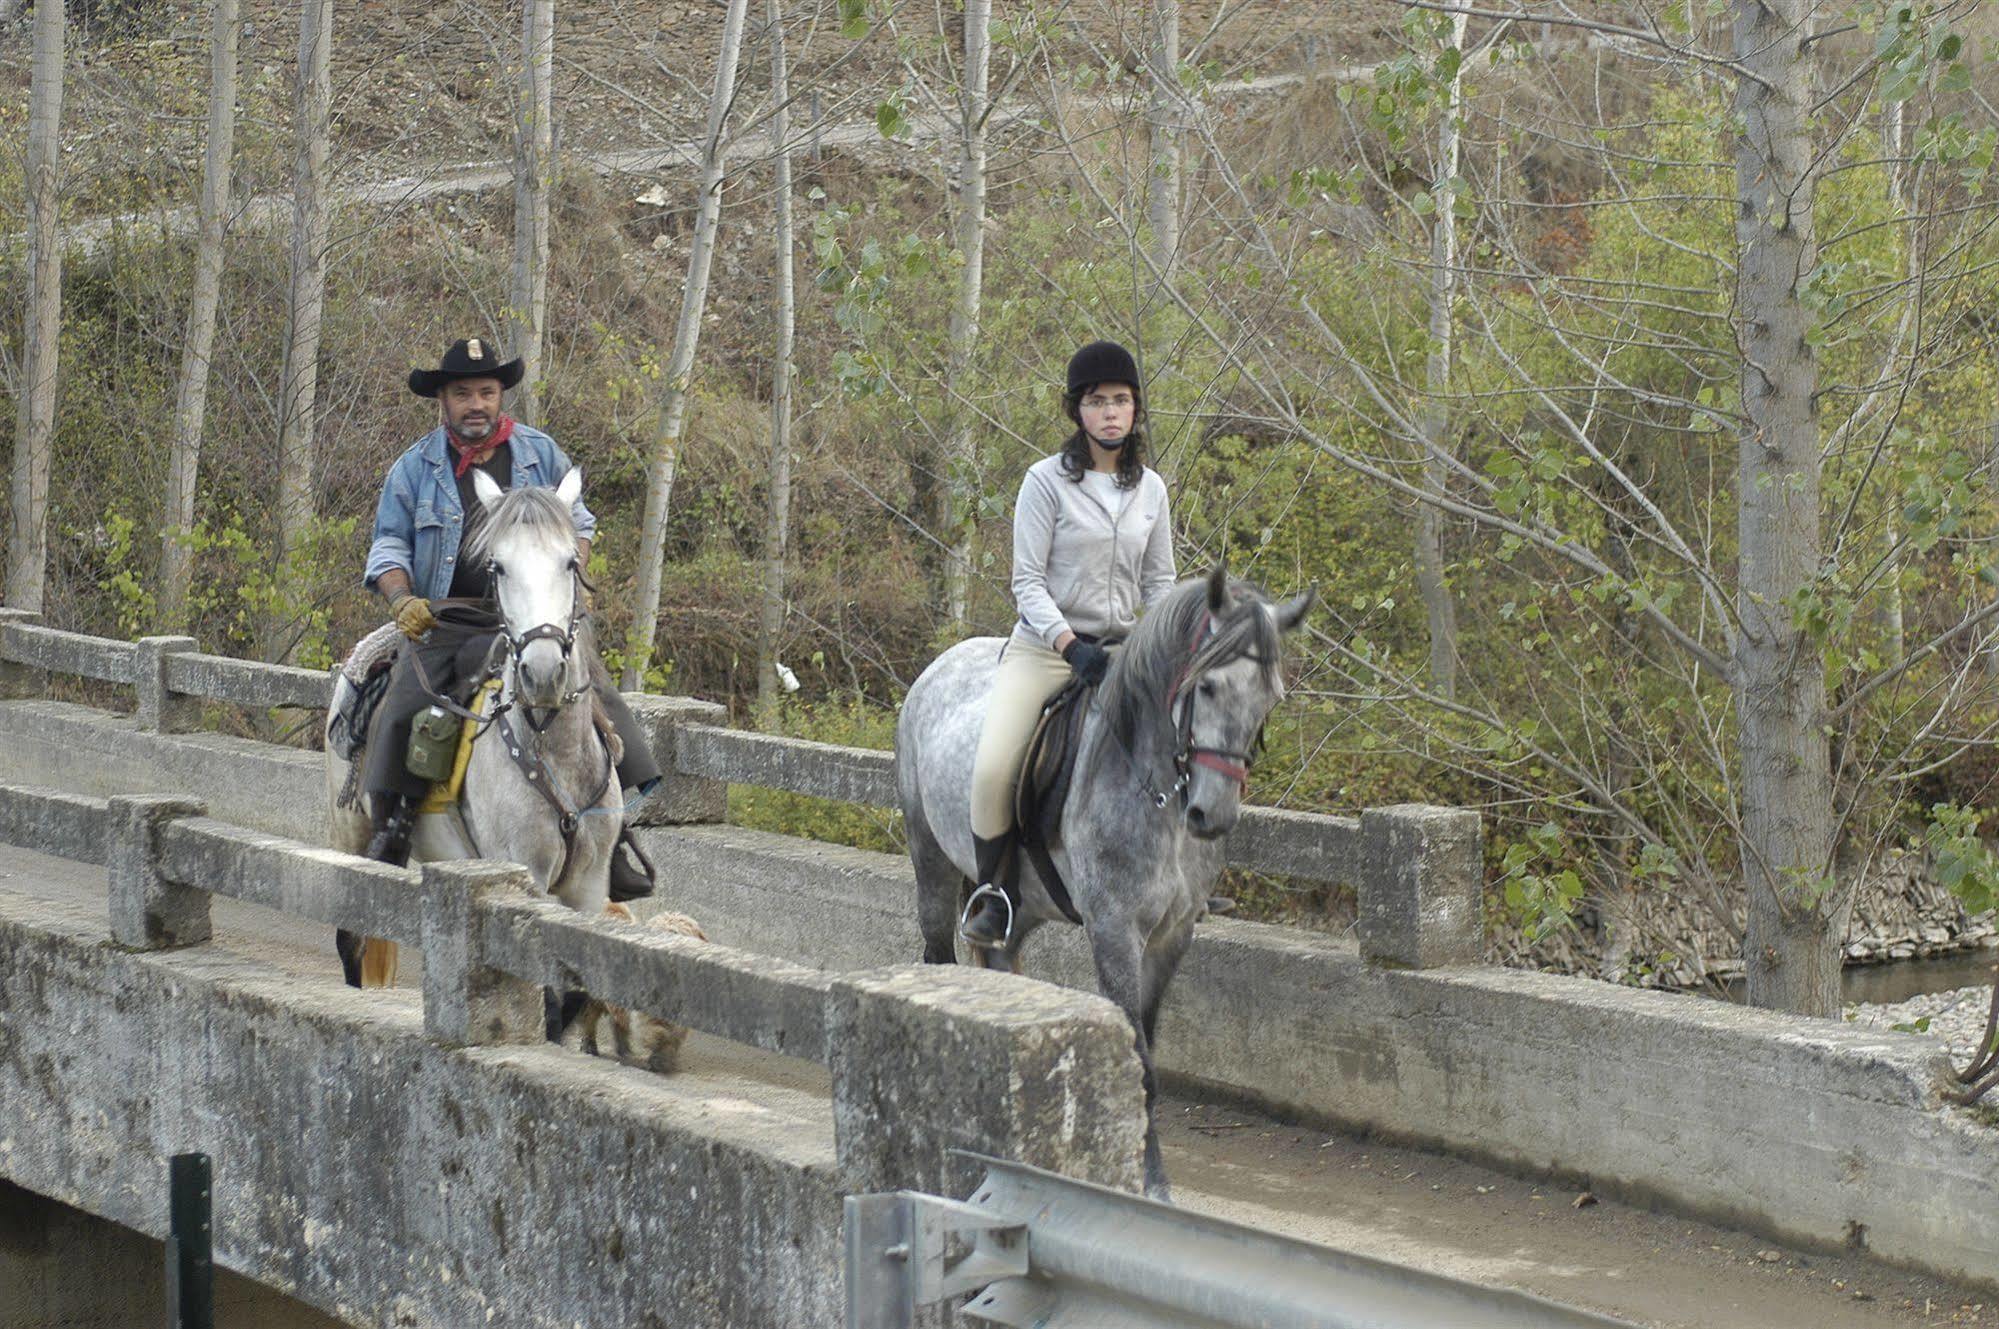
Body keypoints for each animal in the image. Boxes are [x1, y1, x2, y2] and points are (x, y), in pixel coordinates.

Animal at [903, 563, 1311, 1199]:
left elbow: (1149, 1054)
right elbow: (1137, 1059)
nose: (1212, 816)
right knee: (938, 948)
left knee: (1002, 953)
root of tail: (940, 664)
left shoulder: (1171, 938)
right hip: (930, 859)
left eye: (1270, 698)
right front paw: (1145, 1182)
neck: (1158, 793)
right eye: (1209, 687)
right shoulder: (1115, 931)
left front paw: (1152, 1182)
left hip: (1025, 902)